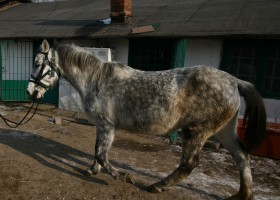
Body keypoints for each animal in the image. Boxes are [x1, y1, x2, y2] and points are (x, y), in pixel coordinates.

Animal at [26, 39, 266, 200]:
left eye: (37, 63)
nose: (30, 91)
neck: (97, 80)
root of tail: (234, 81)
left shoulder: (107, 124)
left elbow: (102, 154)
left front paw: (124, 176)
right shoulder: (102, 125)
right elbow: (97, 152)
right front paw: (92, 170)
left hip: (195, 131)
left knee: (188, 164)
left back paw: (157, 186)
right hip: (224, 131)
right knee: (242, 157)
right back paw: (242, 194)